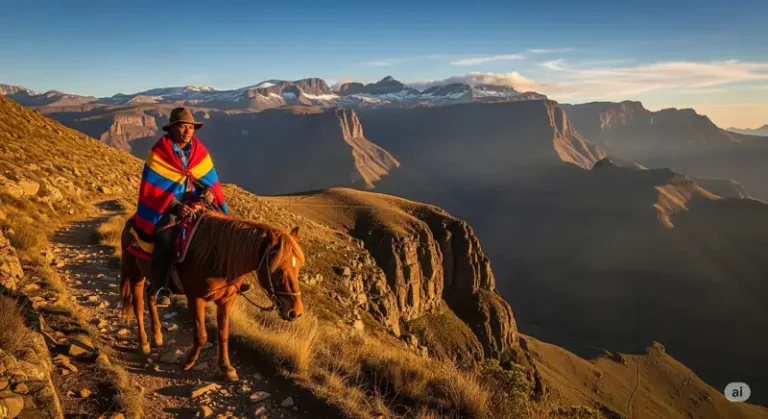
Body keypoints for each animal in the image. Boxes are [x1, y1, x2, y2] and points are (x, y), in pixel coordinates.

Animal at [118, 211, 305, 381]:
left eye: (297, 268)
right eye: (278, 270)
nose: (295, 312)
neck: (219, 257)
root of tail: (130, 221)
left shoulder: (227, 300)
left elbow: (223, 334)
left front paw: (226, 368)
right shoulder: (195, 298)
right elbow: (201, 335)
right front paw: (187, 360)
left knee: (150, 296)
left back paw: (157, 336)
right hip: (135, 274)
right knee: (138, 305)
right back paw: (144, 343)